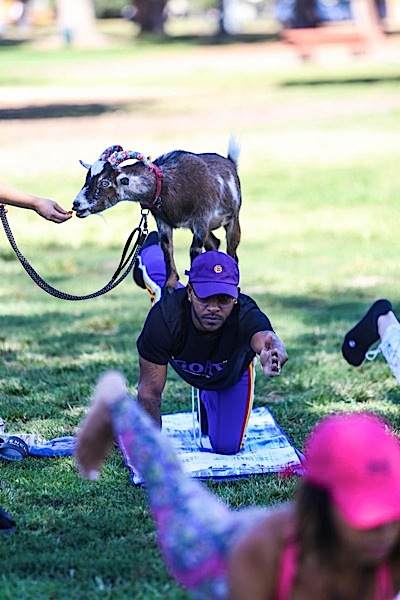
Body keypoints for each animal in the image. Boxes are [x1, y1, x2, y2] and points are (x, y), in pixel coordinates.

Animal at [71, 137, 241, 296]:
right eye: (87, 178)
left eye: (105, 183)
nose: (76, 204)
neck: (165, 184)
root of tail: (231, 163)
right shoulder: (163, 221)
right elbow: (166, 247)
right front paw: (170, 285)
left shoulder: (201, 220)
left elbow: (194, 250)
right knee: (214, 243)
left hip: (233, 219)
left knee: (231, 250)